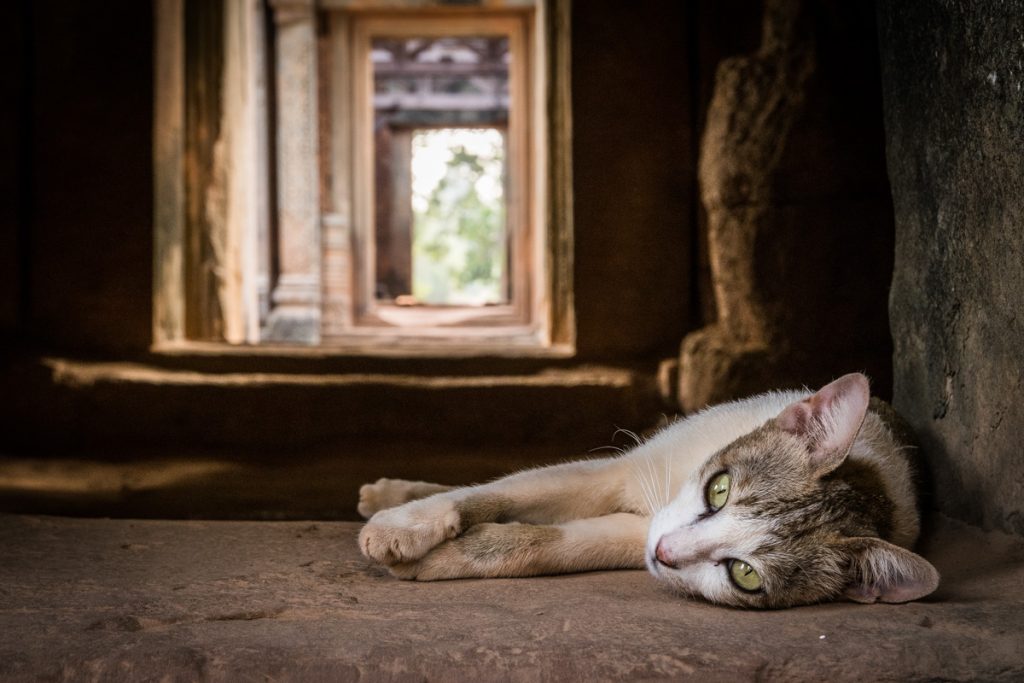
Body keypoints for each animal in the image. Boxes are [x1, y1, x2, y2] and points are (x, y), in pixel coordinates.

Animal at [356, 374, 937, 610]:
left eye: (744, 574)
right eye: (719, 489)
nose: (663, 552)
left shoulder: (638, 529)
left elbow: (539, 542)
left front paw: (441, 559)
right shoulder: (623, 471)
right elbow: (499, 490)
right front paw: (405, 526)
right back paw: (387, 494)